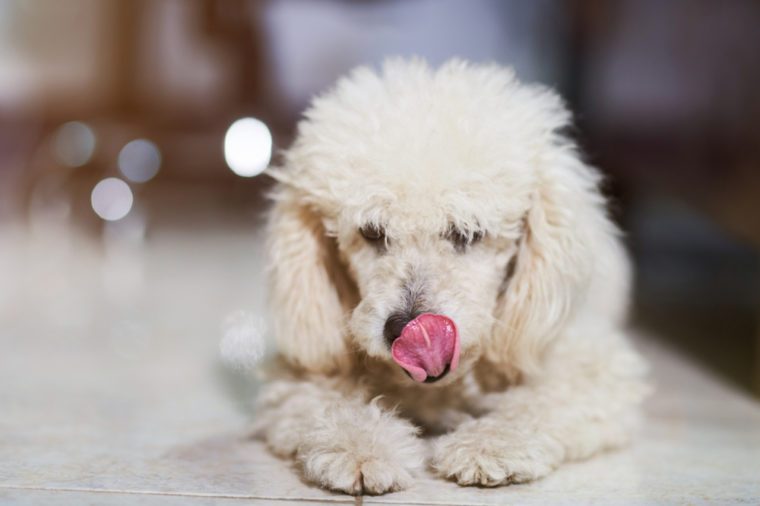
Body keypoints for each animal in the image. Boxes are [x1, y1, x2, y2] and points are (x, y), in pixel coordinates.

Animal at [254, 58, 648, 494]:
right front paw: (359, 445)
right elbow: (326, 401)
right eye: (371, 232)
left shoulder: (591, 365)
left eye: (469, 233)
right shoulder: (297, 376)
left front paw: (490, 443)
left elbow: (540, 402)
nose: (404, 328)